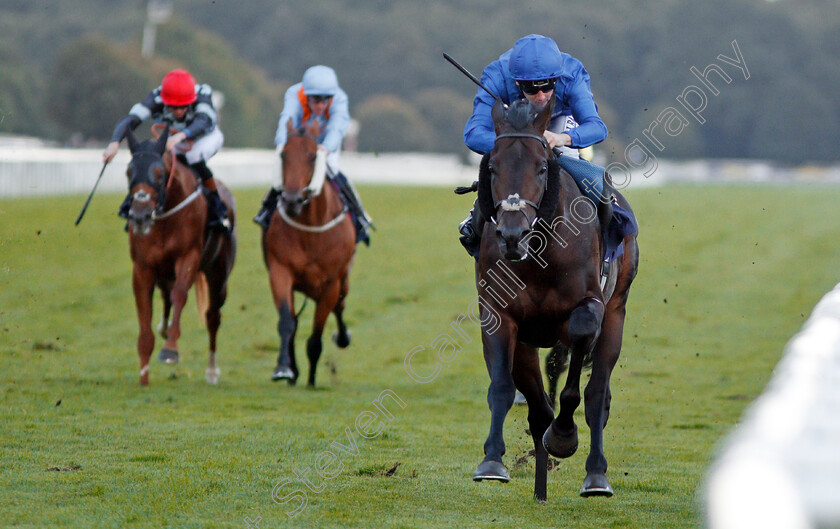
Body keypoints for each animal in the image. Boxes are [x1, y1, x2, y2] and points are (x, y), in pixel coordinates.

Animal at [121, 128, 235, 384]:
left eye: (159, 174)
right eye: (129, 171)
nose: (140, 215)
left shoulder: (188, 256)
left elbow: (180, 294)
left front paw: (170, 350)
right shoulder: (142, 267)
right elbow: (144, 309)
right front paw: (143, 375)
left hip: (218, 273)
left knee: (212, 316)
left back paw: (212, 371)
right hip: (165, 271)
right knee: (166, 296)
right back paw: (163, 327)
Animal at [262, 118, 354, 384]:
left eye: (313, 156)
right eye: (283, 154)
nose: (292, 200)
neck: (311, 230)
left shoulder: (330, 283)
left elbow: (316, 336)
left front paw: (312, 379)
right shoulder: (280, 271)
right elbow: (286, 322)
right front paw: (284, 368)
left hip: (342, 281)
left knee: (340, 307)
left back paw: (342, 337)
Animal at [470, 98, 640, 500]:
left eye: (542, 166)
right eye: (492, 167)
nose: (512, 234)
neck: (539, 255)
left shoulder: (590, 308)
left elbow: (576, 378)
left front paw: (563, 437)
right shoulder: (499, 313)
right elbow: (504, 388)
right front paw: (492, 461)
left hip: (617, 309)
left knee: (597, 396)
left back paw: (596, 475)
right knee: (538, 407)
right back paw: (540, 484)